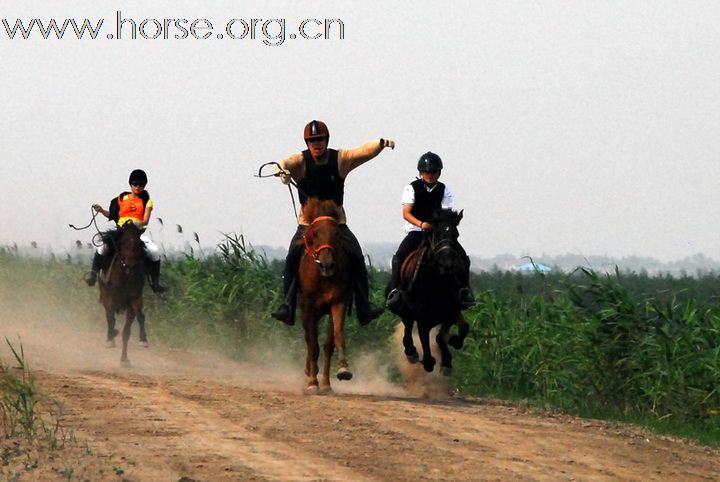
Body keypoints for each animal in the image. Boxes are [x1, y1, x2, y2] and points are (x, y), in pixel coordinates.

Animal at [97, 222, 148, 366]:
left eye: (138, 244)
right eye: (122, 242)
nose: (129, 266)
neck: (124, 277)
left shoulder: (134, 301)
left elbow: (127, 331)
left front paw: (124, 359)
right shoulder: (109, 297)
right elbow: (110, 317)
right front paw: (111, 337)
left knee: (139, 316)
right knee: (109, 316)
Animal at [296, 198, 352, 394]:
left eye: (337, 234)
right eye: (315, 233)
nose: (327, 265)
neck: (323, 278)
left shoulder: (338, 303)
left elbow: (334, 340)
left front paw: (340, 372)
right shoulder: (308, 308)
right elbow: (313, 346)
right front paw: (313, 383)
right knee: (308, 340)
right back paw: (309, 372)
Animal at [396, 209, 470, 374]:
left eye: (456, 235)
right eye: (437, 233)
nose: (447, 264)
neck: (437, 282)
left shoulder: (452, 309)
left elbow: (459, 329)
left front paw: (449, 353)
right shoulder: (422, 314)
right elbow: (424, 336)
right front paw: (429, 361)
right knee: (408, 326)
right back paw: (411, 352)